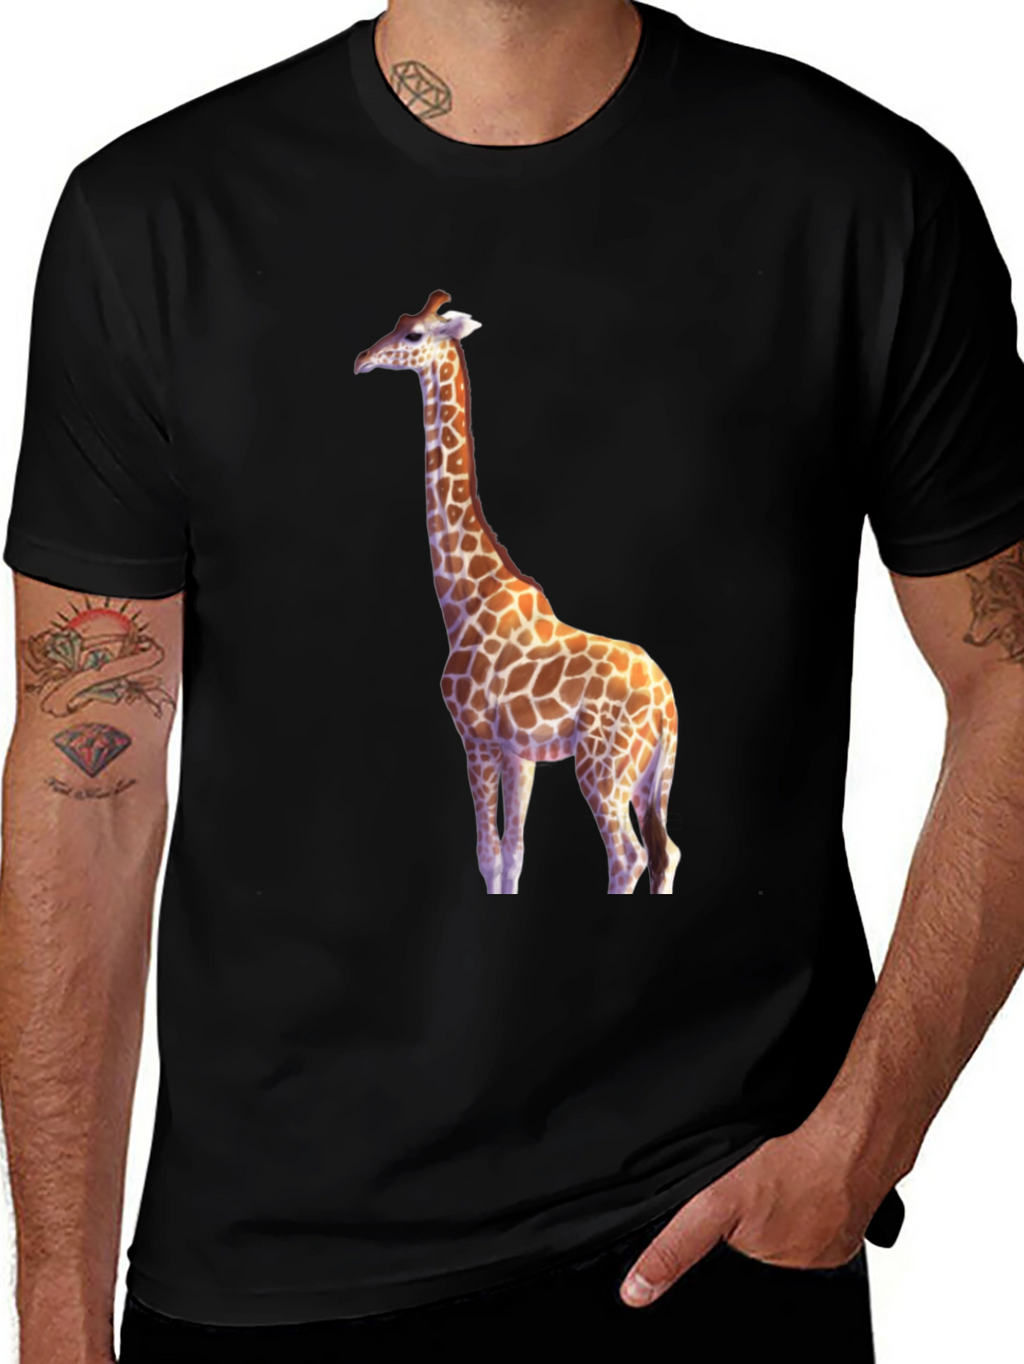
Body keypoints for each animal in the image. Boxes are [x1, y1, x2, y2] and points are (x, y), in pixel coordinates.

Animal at [355, 291, 680, 895]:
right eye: (397, 324)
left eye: (414, 336)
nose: (363, 359)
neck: (464, 599)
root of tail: (668, 701)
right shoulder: (520, 752)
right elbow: (513, 855)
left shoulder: (477, 737)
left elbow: (488, 854)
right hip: (653, 771)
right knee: (665, 851)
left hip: (603, 764)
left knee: (628, 854)